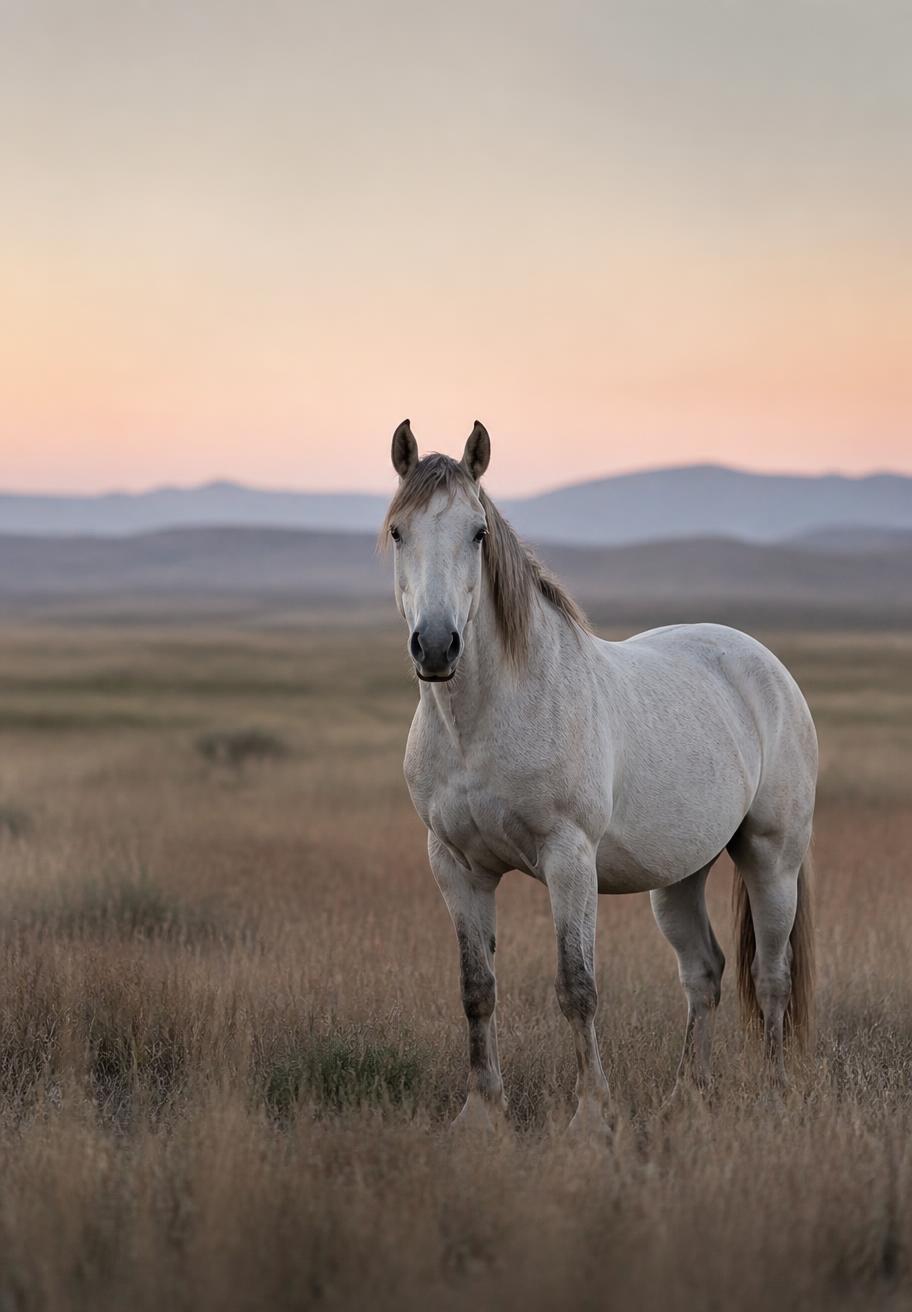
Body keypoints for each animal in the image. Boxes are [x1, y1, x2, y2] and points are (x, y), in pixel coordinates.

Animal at [383, 419, 817, 1133]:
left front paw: (592, 1116)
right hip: (679, 875)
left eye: (478, 532)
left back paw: (775, 1101)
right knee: (705, 973)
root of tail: (764, 662)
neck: (484, 720)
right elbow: (477, 991)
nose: (438, 645)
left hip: (771, 857)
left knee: (773, 978)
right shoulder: (456, 866)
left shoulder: (568, 859)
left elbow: (577, 988)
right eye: (398, 531)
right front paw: (482, 1113)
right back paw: (685, 1099)